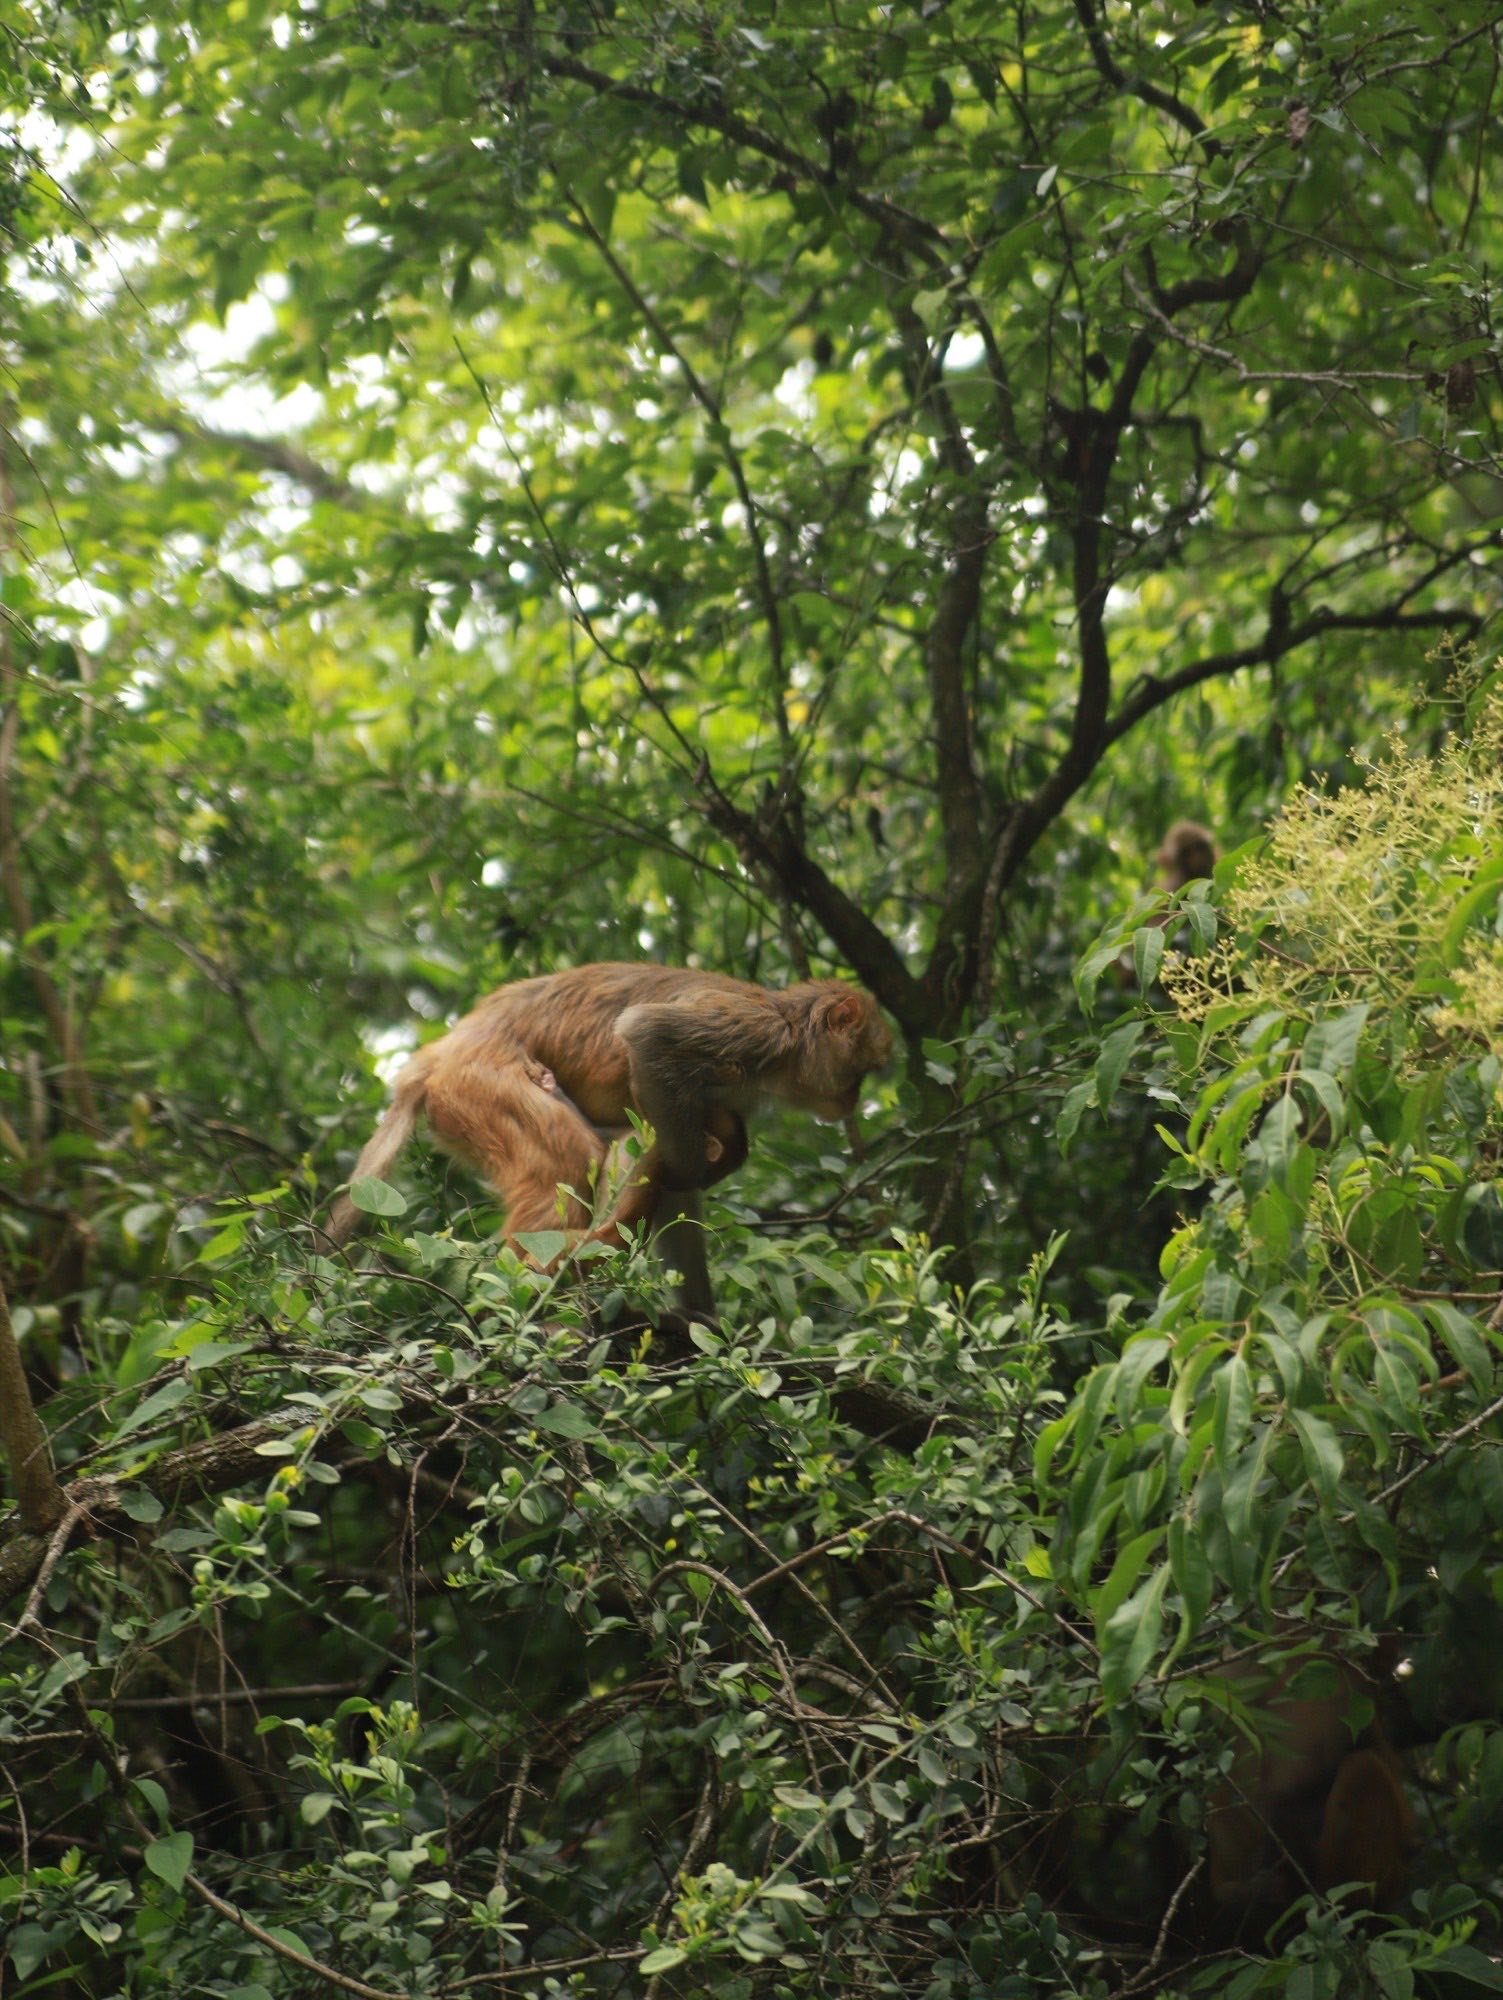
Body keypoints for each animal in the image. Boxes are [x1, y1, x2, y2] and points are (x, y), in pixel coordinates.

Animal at [327, 964, 892, 1315]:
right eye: (861, 1071)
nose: (853, 1099)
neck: (789, 1038)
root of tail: (448, 1049)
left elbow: (676, 1191)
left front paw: (703, 1315)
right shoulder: (756, 1032)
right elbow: (649, 1033)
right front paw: (694, 1168)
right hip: (483, 1086)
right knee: (570, 1162)